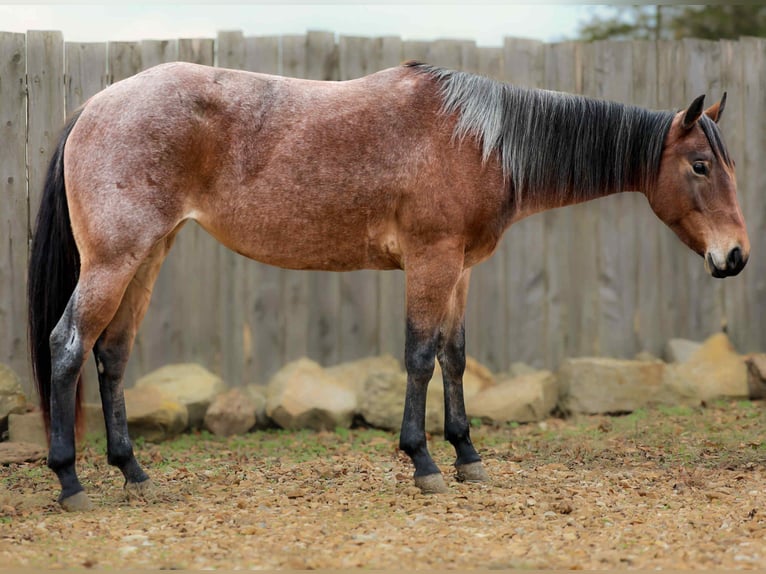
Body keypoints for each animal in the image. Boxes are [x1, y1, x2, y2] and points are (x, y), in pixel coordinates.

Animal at [28, 60, 748, 511]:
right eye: (700, 165)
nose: (736, 256)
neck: (476, 140)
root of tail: (93, 106)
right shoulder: (431, 261)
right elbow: (420, 357)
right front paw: (423, 462)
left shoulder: (460, 268)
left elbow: (455, 359)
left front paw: (466, 456)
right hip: (115, 260)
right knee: (68, 347)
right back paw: (71, 483)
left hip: (147, 256)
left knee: (111, 354)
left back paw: (135, 474)